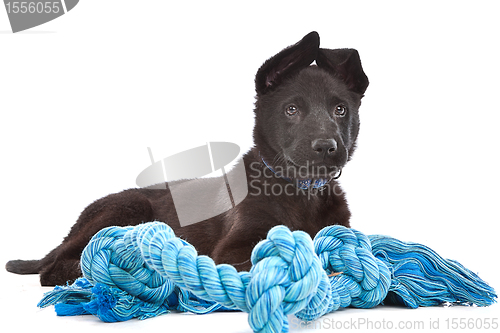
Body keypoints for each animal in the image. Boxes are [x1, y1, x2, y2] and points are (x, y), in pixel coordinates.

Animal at [6, 31, 368, 286]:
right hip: (126, 207)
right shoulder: (232, 249)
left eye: (340, 110)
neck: (302, 192)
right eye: (291, 109)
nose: (326, 146)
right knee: (59, 268)